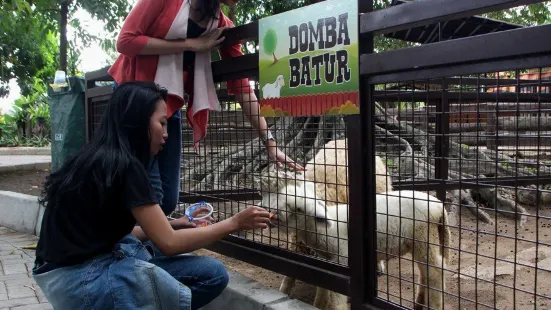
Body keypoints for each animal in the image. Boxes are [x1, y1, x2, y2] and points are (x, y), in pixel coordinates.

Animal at [260, 174, 450, 310]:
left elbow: (337, 299)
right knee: (425, 272)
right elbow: (323, 289)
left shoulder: (343, 260)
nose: (272, 214)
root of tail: (439, 206)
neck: (324, 231)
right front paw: (317, 305)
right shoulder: (328, 261)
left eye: (298, 209)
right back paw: (419, 302)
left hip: (424, 236)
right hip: (418, 241)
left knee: (435, 272)